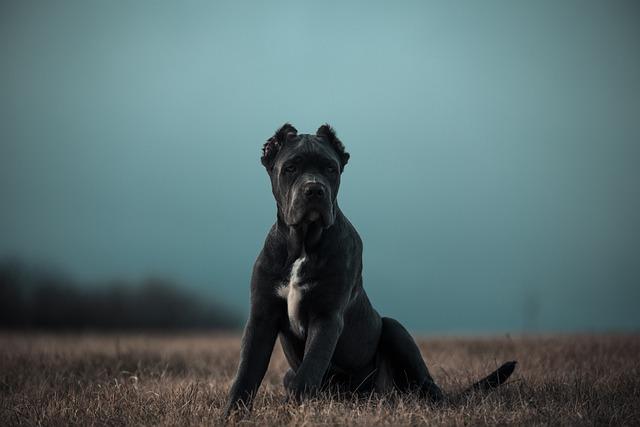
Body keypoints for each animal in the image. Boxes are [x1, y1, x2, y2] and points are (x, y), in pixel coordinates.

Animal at [225, 123, 516, 414]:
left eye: (330, 168)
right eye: (291, 168)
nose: (315, 190)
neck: (304, 244)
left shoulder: (327, 316)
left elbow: (309, 369)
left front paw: (291, 409)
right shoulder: (262, 316)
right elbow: (247, 372)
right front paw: (233, 414)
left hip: (394, 329)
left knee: (427, 384)